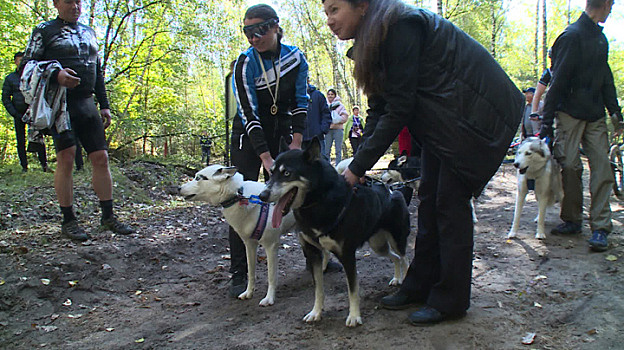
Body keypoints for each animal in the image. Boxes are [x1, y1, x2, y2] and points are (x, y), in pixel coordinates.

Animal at [256, 138, 412, 326]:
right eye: (271, 172)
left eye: (287, 173)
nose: (262, 195)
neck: (318, 202)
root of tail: (394, 191)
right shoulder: (313, 253)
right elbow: (318, 289)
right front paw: (316, 312)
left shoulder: (347, 254)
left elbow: (353, 289)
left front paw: (354, 316)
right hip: (378, 245)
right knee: (396, 258)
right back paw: (397, 278)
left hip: (397, 240)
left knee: (404, 258)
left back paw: (405, 282)